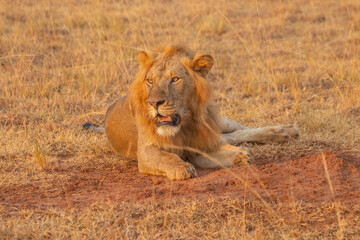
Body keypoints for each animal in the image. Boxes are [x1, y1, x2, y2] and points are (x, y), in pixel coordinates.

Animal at [86, 45, 298, 180]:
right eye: (150, 81)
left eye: (175, 79)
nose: (154, 103)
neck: (184, 125)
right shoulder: (146, 151)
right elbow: (166, 157)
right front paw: (182, 169)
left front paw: (240, 156)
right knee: (232, 136)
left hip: (219, 121)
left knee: (241, 129)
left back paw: (284, 131)